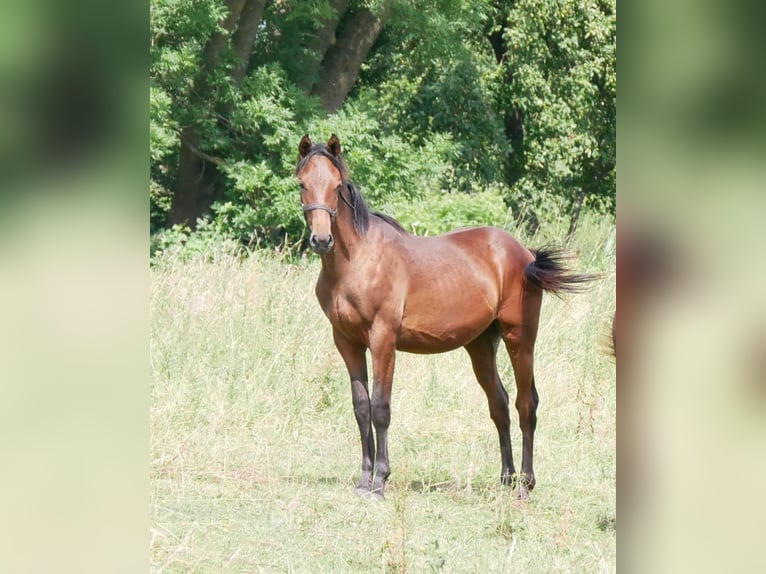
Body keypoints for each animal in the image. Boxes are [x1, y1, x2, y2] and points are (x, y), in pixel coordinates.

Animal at [295, 134, 595, 500]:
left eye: (337, 185)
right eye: (303, 183)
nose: (321, 240)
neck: (358, 261)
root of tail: (524, 252)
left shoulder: (383, 340)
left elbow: (381, 408)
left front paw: (380, 481)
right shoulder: (347, 342)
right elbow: (361, 407)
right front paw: (364, 479)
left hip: (520, 339)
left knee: (526, 403)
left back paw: (525, 484)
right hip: (481, 345)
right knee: (500, 405)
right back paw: (506, 477)